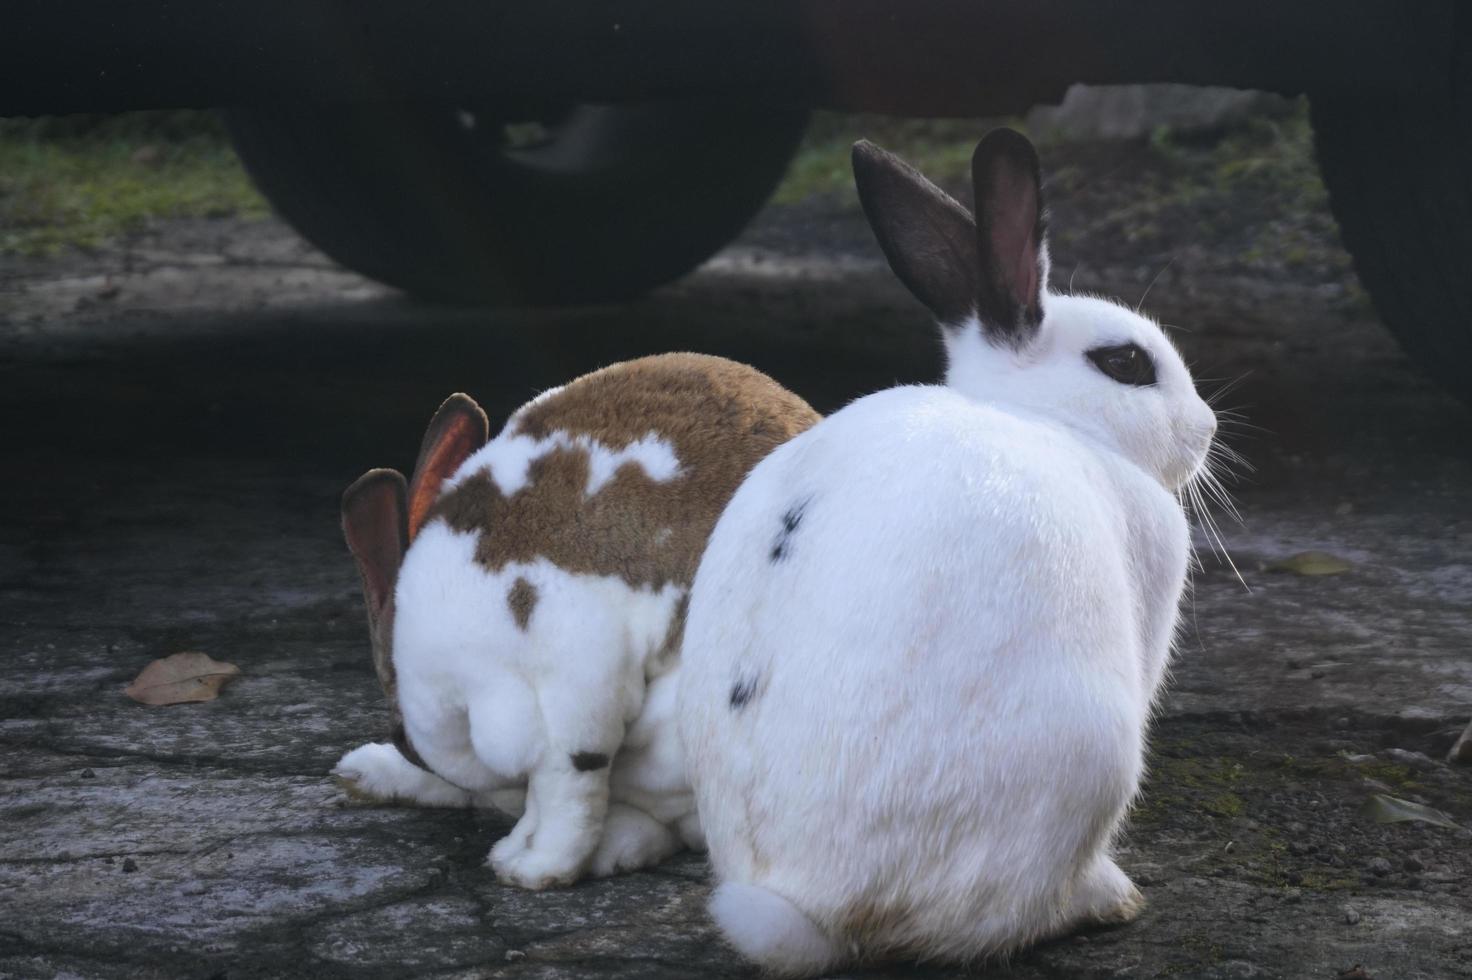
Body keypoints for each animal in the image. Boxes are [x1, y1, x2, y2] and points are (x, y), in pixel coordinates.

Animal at [335, 351, 818, 882]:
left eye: (402, 733)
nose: (402, 748)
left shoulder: (571, 693)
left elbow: (565, 796)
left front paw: (531, 868)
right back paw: (361, 771)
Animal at [677, 129, 1218, 971]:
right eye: (1125, 363)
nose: (1207, 429)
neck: (1048, 418)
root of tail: (814, 906)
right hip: (1093, 752)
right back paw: (1108, 899)